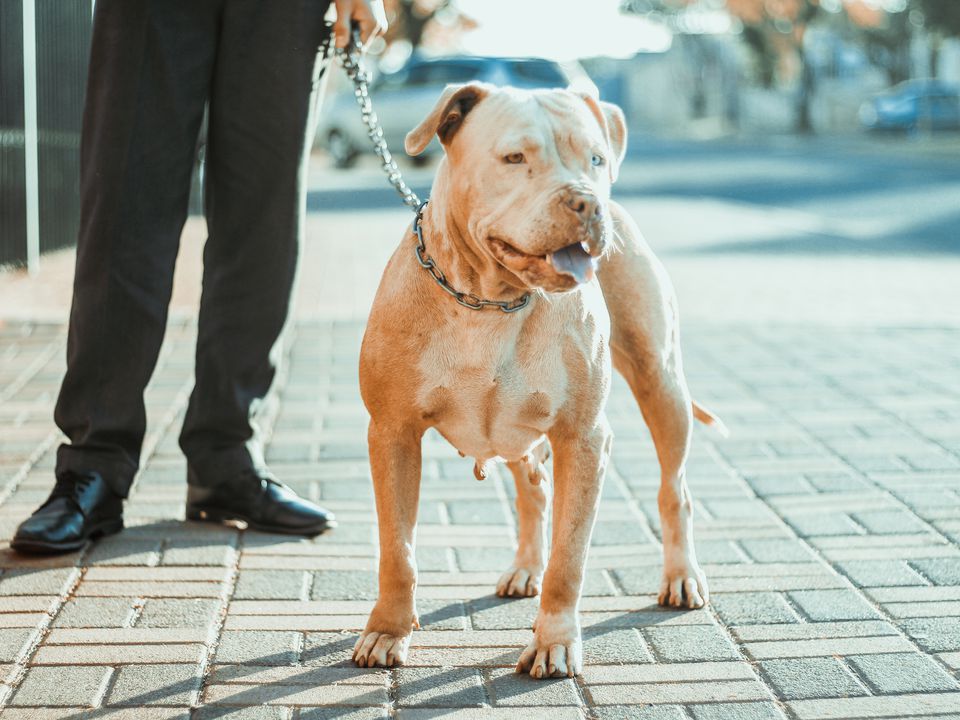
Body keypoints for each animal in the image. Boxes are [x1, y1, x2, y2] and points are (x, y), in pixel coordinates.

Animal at [352, 81, 720, 676]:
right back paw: (526, 567)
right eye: (514, 158)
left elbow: (569, 557)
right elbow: (397, 549)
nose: (588, 201)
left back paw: (681, 575)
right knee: (533, 489)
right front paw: (388, 630)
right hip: (514, 430)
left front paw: (554, 641)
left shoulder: (583, 437)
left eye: (595, 158)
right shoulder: (392, 433)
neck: (488, 299)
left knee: (674, 489)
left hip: (660, 383)